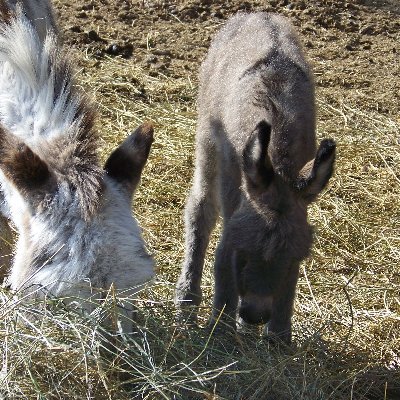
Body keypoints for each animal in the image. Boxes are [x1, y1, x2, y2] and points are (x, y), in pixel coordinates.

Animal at [177, 13, 336, 344]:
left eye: (293, 261)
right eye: (241, 255)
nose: (255, 316)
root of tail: (259, 14)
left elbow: (287, 293)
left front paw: (280, 340)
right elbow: (221, 264)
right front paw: (220, 334)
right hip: (208, 142)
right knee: (201, 209)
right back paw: (188, 299)